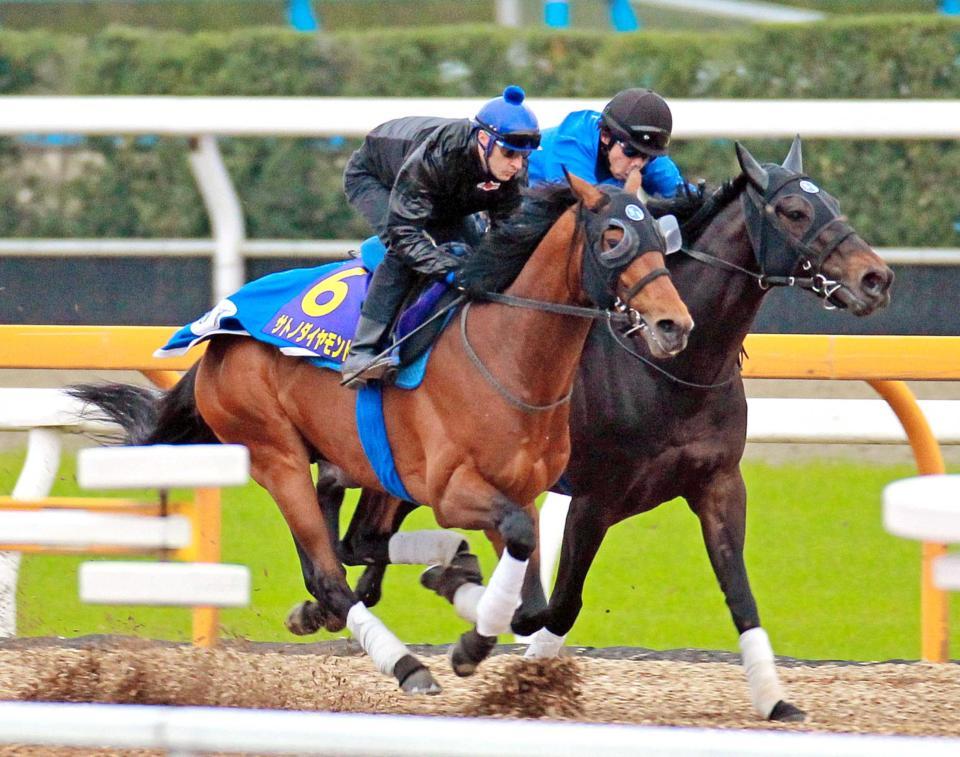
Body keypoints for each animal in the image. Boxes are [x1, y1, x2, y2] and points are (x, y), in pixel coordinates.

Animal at [73, 170, 688, 692]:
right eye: (612, 236)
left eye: (659, 236)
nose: (673, 325)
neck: (509, 356)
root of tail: (221, 332)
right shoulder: (454, 491)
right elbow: (514, 548)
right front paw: (465, 635)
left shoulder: (518, 490)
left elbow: (530, 599)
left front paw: (467, 616)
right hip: (275, 454)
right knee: (329, 573)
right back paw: (406, 664)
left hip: (362, 462)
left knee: (351, 543)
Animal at [316, 140, 892, 716]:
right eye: (793, 211)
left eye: (834, 202)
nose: (876, 279)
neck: (669, 369)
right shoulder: (594, 498)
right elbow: (558, 605)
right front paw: (511, 666)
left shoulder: (718, 483)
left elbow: (739, 593)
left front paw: (774, 699)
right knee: (355, 530)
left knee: (363, 540)